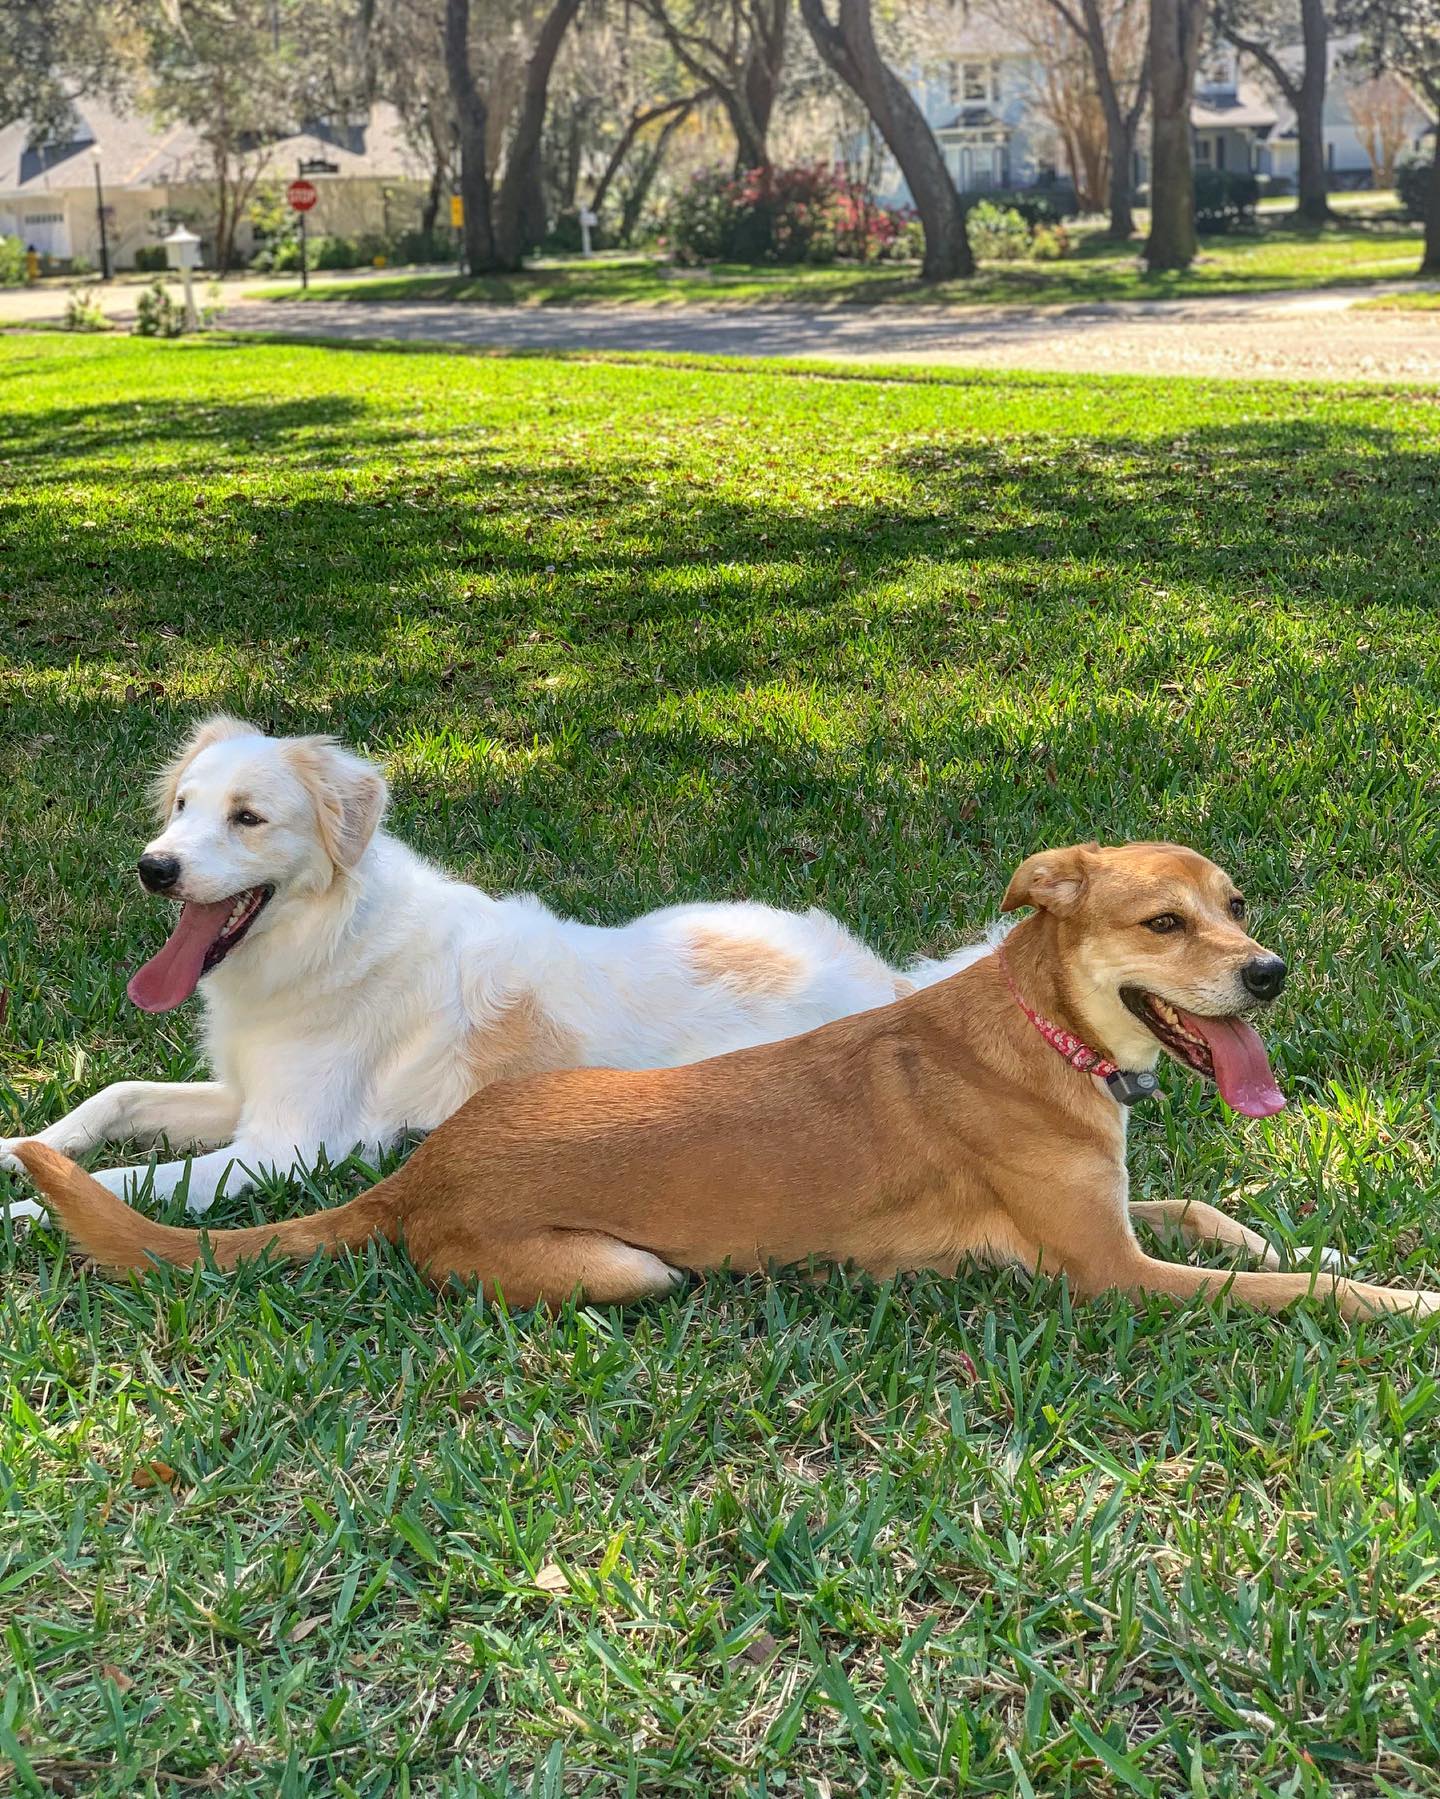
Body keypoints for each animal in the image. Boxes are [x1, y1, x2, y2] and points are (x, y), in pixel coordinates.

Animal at [2, 723, 964, 1216]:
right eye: (181, 805)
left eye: (248, 817)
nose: (152, 867)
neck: (330, 938)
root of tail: (889, 984)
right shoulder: (244, 1096)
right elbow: (114, 1098)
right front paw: (19, 1150)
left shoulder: (289, 1146)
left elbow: (119, 1184)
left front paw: (27, 1212)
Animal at [14, 841, 1440, 1324]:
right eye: (1163, 923)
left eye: (1236, 905)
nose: (1272, 971)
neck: (1042, 1030)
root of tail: (418, 1176)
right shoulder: (1110, 1272)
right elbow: (1302, 1290)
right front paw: (1400, 1294)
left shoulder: (1116, 1217)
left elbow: (1210, 1209)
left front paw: (1290, 1225)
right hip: (628, 1266)